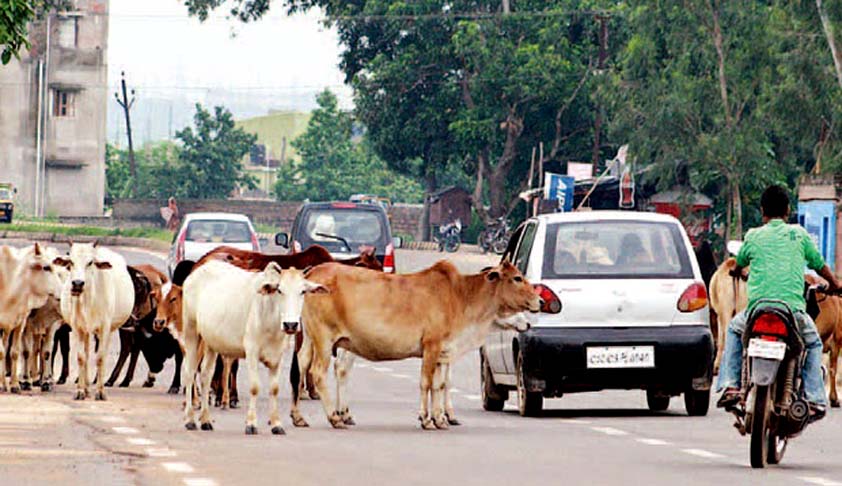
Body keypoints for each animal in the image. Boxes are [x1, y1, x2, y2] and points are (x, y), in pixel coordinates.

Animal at [0, 243, 62, 392]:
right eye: (46, 267)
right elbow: (8, 352)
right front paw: (22, 381)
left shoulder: (21, 322)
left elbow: (16, 352)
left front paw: (16, 385)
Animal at [53, 242, 134, 398]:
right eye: (71, 262)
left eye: (90, 263)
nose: (77, 283)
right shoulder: (77, 328)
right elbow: (81, 357)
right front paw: (80, 391)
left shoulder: (104, 328)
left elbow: (100, 358)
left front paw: (100, 392)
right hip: (86, 331)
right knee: (86, 353)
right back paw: (86, 388)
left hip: (110, 329)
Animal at [179, 260, 326, 434]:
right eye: (279, 290)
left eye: (303, 291)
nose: (290, 325)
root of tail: (196, 272)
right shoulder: (252, 352)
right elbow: (255, 387)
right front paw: (251, 423)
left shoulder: (278, 356)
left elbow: (274, 389)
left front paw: (276, 424)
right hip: (191, 332)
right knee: (189, 372)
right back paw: (189, 419)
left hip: (211, 343)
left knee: (205, 376)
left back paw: (206, 420)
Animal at [288, 260, 540, 430]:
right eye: (517, 278)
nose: (540, 300)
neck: (460, 296)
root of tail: (314, 273)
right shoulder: (431, 346)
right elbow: (426, 383)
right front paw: (426, 419)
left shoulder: (441, 352)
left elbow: (438, 385)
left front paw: (440, 419)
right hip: (324, 339)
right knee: (317, 373)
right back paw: (335, 417)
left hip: (310, 338)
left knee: (300, 365)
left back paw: (298, 417)